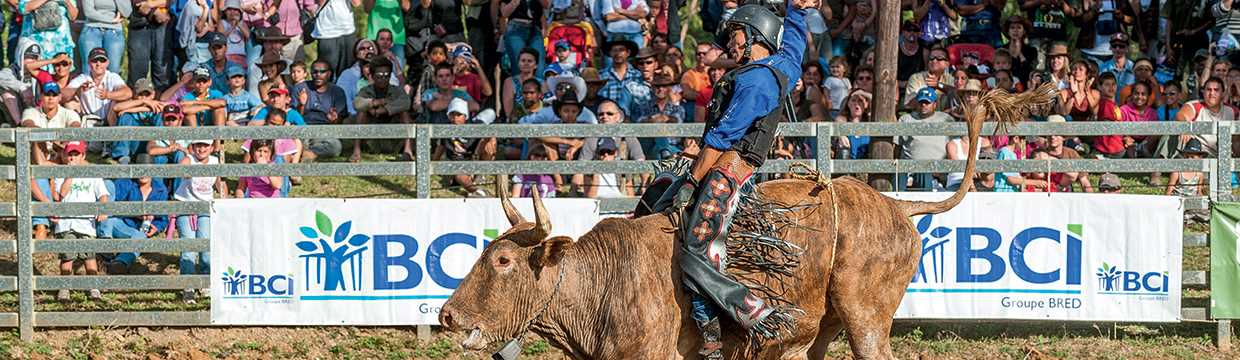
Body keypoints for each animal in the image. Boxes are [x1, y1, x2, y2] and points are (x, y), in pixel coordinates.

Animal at [441, 84, 1051, 357]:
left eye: (503, 260)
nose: (447, 315)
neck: (601, 283)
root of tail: (895, 205)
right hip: (817, 329)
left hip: (866, 317)